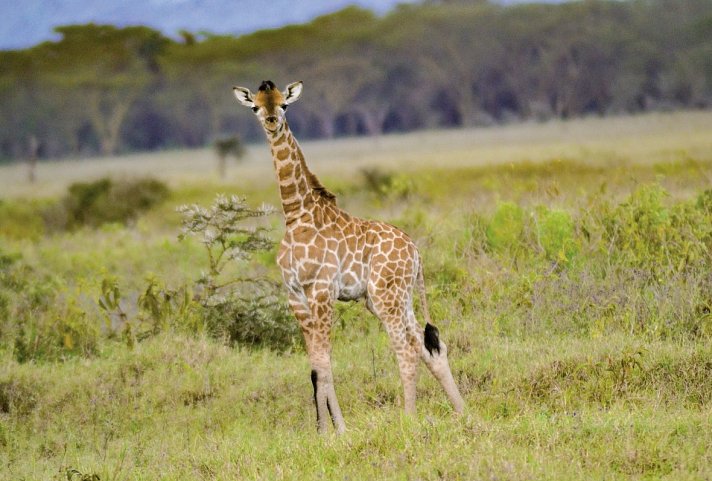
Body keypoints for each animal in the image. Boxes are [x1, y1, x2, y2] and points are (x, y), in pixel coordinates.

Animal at [235, 80, 468, 434]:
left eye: (284, 104)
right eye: (255, 107)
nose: (272, 122)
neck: (296, 214)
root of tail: (415, 252)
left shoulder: (321, 290)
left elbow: (323, 363)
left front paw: (336, 431)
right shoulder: (294, 296)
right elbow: (316, 366)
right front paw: (323, 430)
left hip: (387, 296)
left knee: (407, 350)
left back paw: (409, 419)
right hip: (393, 297)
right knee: (429, 346)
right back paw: (462, 411)